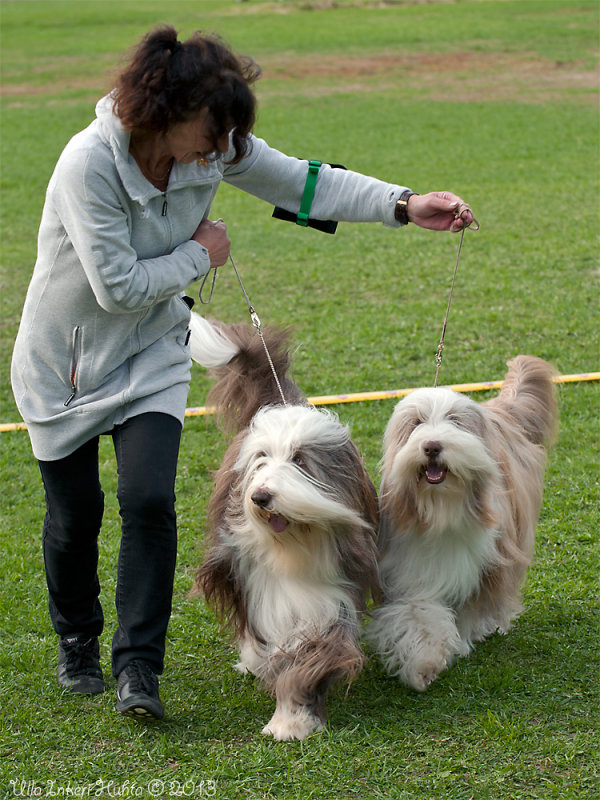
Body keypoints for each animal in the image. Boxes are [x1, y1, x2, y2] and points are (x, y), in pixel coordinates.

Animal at [189, 316, 380, 740]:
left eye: (300, 460)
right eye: (261, 458)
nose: (261, 496)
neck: (293, 546)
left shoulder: (331, 597)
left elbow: (311, 656)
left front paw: (292, 719)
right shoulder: (258, 585)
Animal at [366, 354, 556, 692]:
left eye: (455, 421)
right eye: (416, 423)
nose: (431, 446)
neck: (441, 508)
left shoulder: (481, 564)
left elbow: (470, 606)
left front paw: (466, 639)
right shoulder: (410, 570)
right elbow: (420, 614)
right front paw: (423, 664)